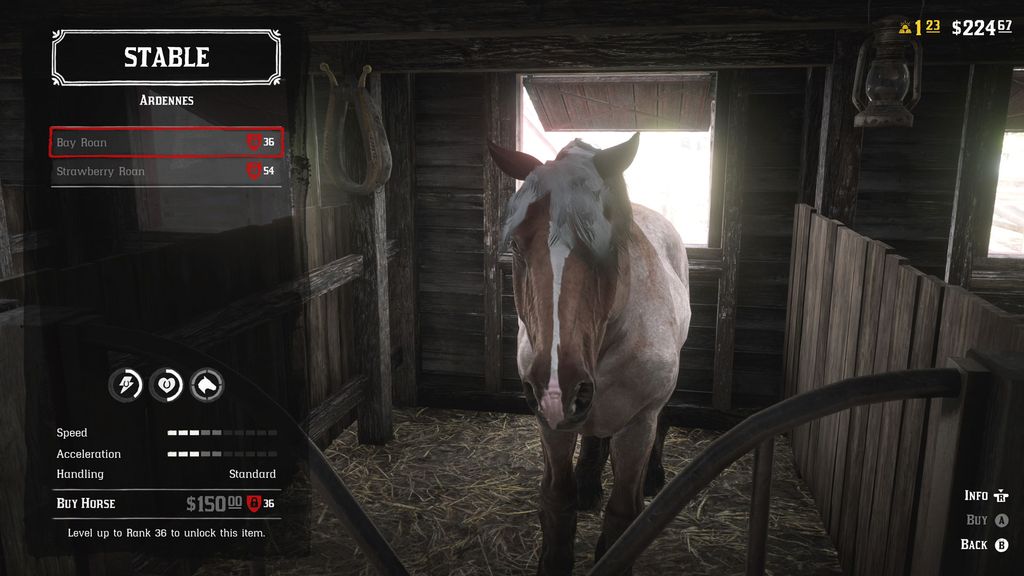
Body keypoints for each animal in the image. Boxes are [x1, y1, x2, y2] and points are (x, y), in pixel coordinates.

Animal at [487, 134, 691, 575]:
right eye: (516, 244)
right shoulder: (550, 423)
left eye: (609, 243)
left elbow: (623, 512)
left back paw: (653, 475)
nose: (556, 389)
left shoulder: (638, 423)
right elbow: (556, 499)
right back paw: (587, 482)